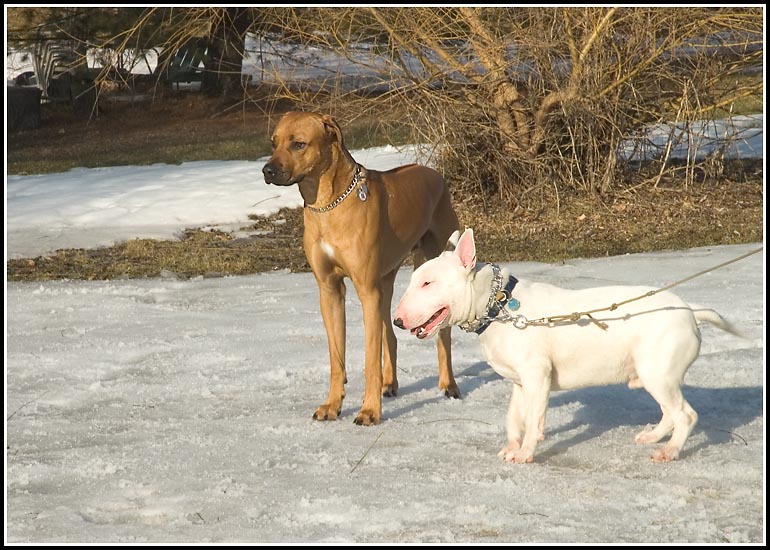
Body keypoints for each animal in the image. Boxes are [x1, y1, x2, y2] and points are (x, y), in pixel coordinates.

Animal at [260, 110, 460, 424]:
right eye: (273, 142)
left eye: (298, 144)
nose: (267, 171)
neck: (327, 203)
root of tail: (433, 173)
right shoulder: (329, 290)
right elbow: (336, 358)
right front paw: (332, 405)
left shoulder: (367, 290)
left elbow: (369, 360)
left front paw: (369, 410)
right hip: (385, 281)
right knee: (389, 333)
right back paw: (390, 383)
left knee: (443, 335)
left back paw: (449, 385)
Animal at [392, 229, 740, 466]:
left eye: (427, 283)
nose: (397, 320)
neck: (499, 306)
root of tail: (690, 311)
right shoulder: (521, 382)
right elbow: (514, 417)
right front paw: (511, 447)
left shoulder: (537, 375)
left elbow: (534, 419)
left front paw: (526, 453)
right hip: (653, 375)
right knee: (670, 412)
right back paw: (652, 436)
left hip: (658, 372)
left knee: (686, 415)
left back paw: (669, 450)